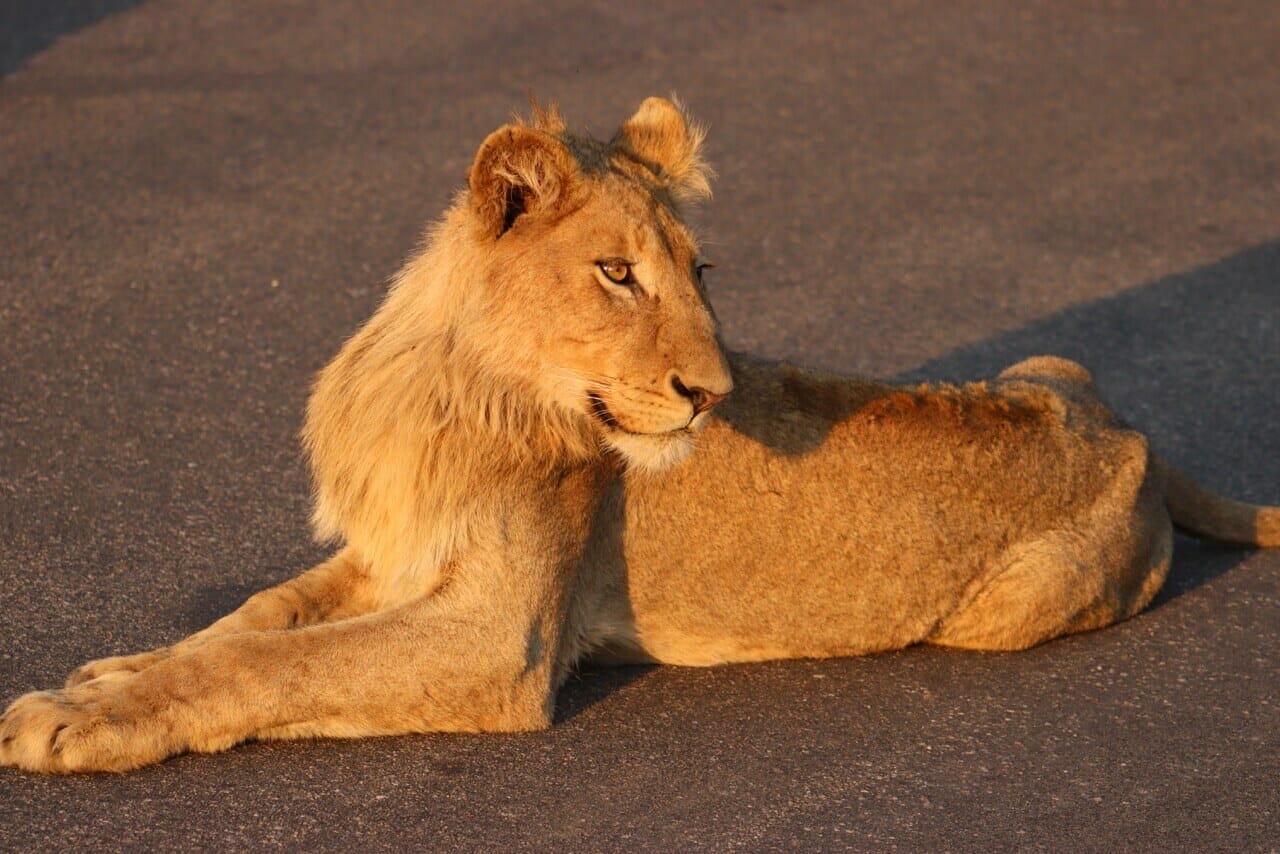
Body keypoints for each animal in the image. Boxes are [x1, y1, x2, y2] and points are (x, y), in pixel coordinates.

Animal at [0, 96, 1274, 773]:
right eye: (616, 272)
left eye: (699, 272)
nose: (711, 393)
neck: (449, 388)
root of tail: (1128, 430)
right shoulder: (394, 550)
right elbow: (252, 622)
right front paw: (112, 672)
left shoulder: (498, 640)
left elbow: (276, 662)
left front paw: (74, 717)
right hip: (1045, 362)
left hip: (1010, 607)